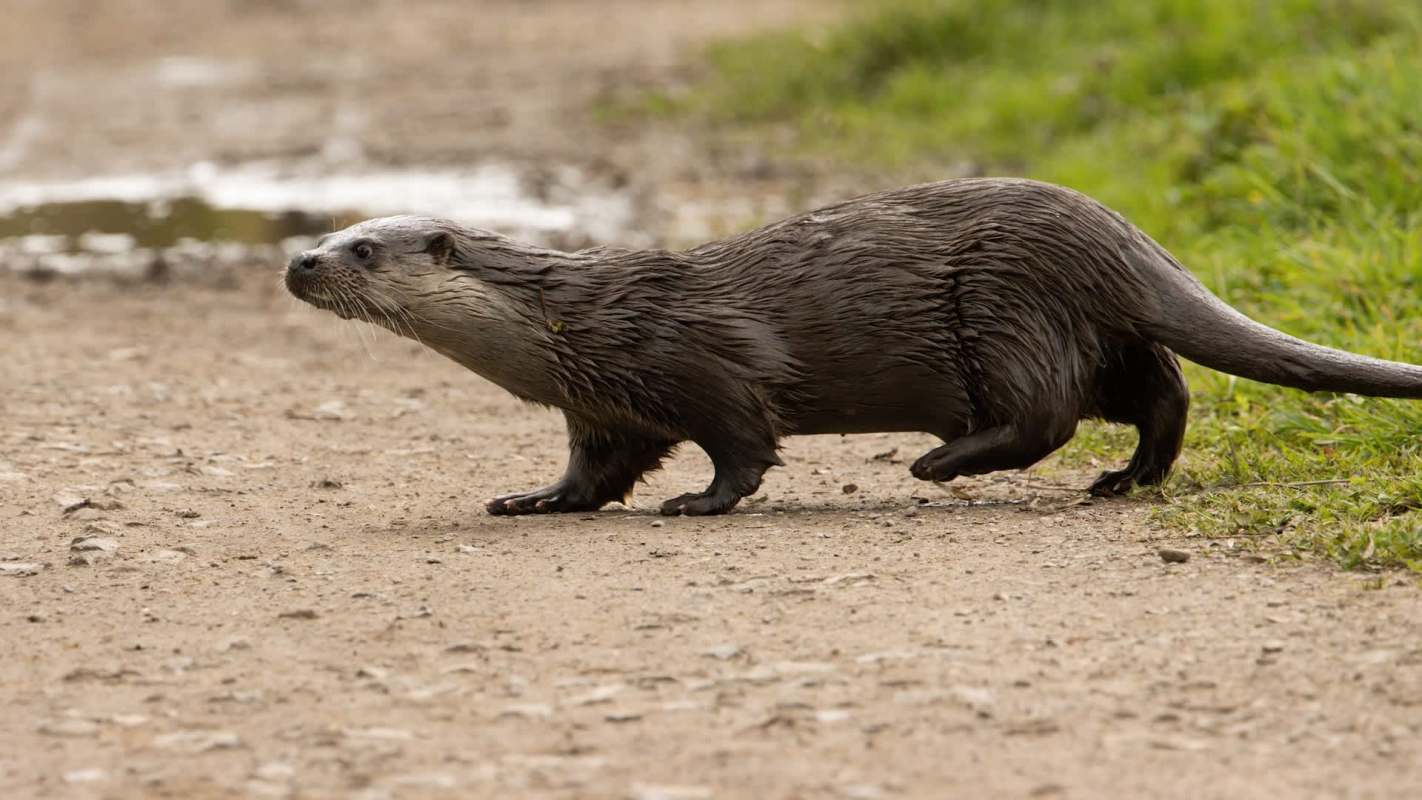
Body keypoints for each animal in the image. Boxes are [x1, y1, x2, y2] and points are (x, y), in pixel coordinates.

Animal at [284, 178, 1422, 516]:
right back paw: (1124, 480)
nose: (299, 261)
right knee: (1162, 395)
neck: (575, 324)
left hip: (1003, 305)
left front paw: (699, 503)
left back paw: (940, 462)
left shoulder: (702, 360)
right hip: (1081, 325)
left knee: (1045, 411)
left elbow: (743, 444)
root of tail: (1107, 230)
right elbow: (592, 472)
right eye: (331, 232)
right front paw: (532, 499)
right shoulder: (604, 403)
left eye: (364, 248)